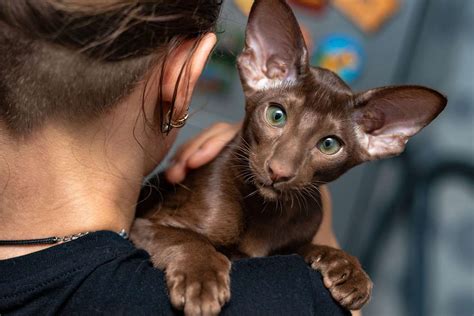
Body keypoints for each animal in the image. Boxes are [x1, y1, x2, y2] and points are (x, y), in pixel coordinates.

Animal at [131, 0, 446, 314]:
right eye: (276, 115)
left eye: (329, 145)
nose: (278, 172)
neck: (266, 213)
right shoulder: (144, 224)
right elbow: (187, 237)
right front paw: (201, 277)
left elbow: (301, 249)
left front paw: (347, 268)